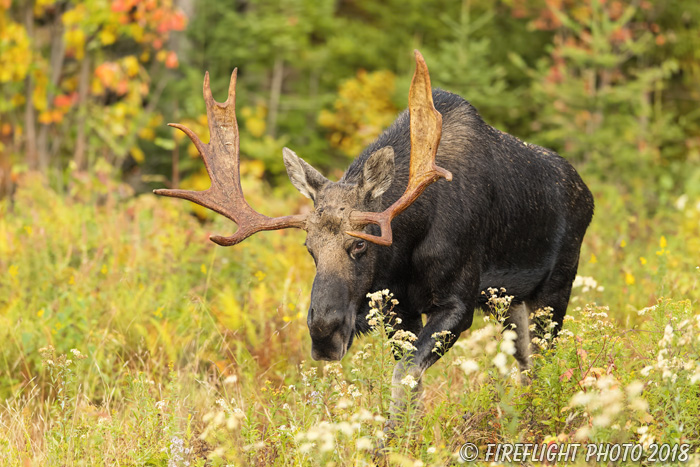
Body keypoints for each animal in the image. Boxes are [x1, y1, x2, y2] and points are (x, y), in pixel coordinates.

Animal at [153, 50, 592, 420]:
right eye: (309, 249)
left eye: (360, 244)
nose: (323, 333)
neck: (407, 248)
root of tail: (586, 192)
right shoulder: (400, 308)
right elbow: (409, 380)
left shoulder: (458, 301)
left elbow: (404, 375)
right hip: (509, 303)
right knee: (525, 363)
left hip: (555, 289)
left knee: (545, 359)